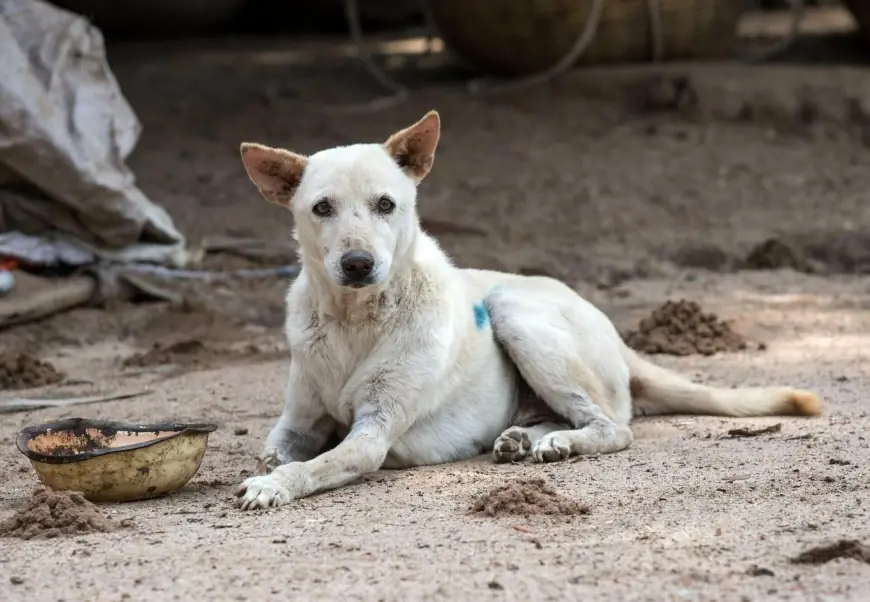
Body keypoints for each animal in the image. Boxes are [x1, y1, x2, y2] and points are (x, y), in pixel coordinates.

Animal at [233, 110, 824, 508]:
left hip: (514, 312)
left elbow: (314, 465)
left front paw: (273, 485)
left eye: (385, 204)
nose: (357, 264)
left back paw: (558, 441)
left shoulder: (373, 433)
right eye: (321, 208)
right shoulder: (297, 422)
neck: (354, 320)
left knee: (614, 427)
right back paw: (527, 438)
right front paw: (269, 468)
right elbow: (278, 450)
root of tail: (618, 338)